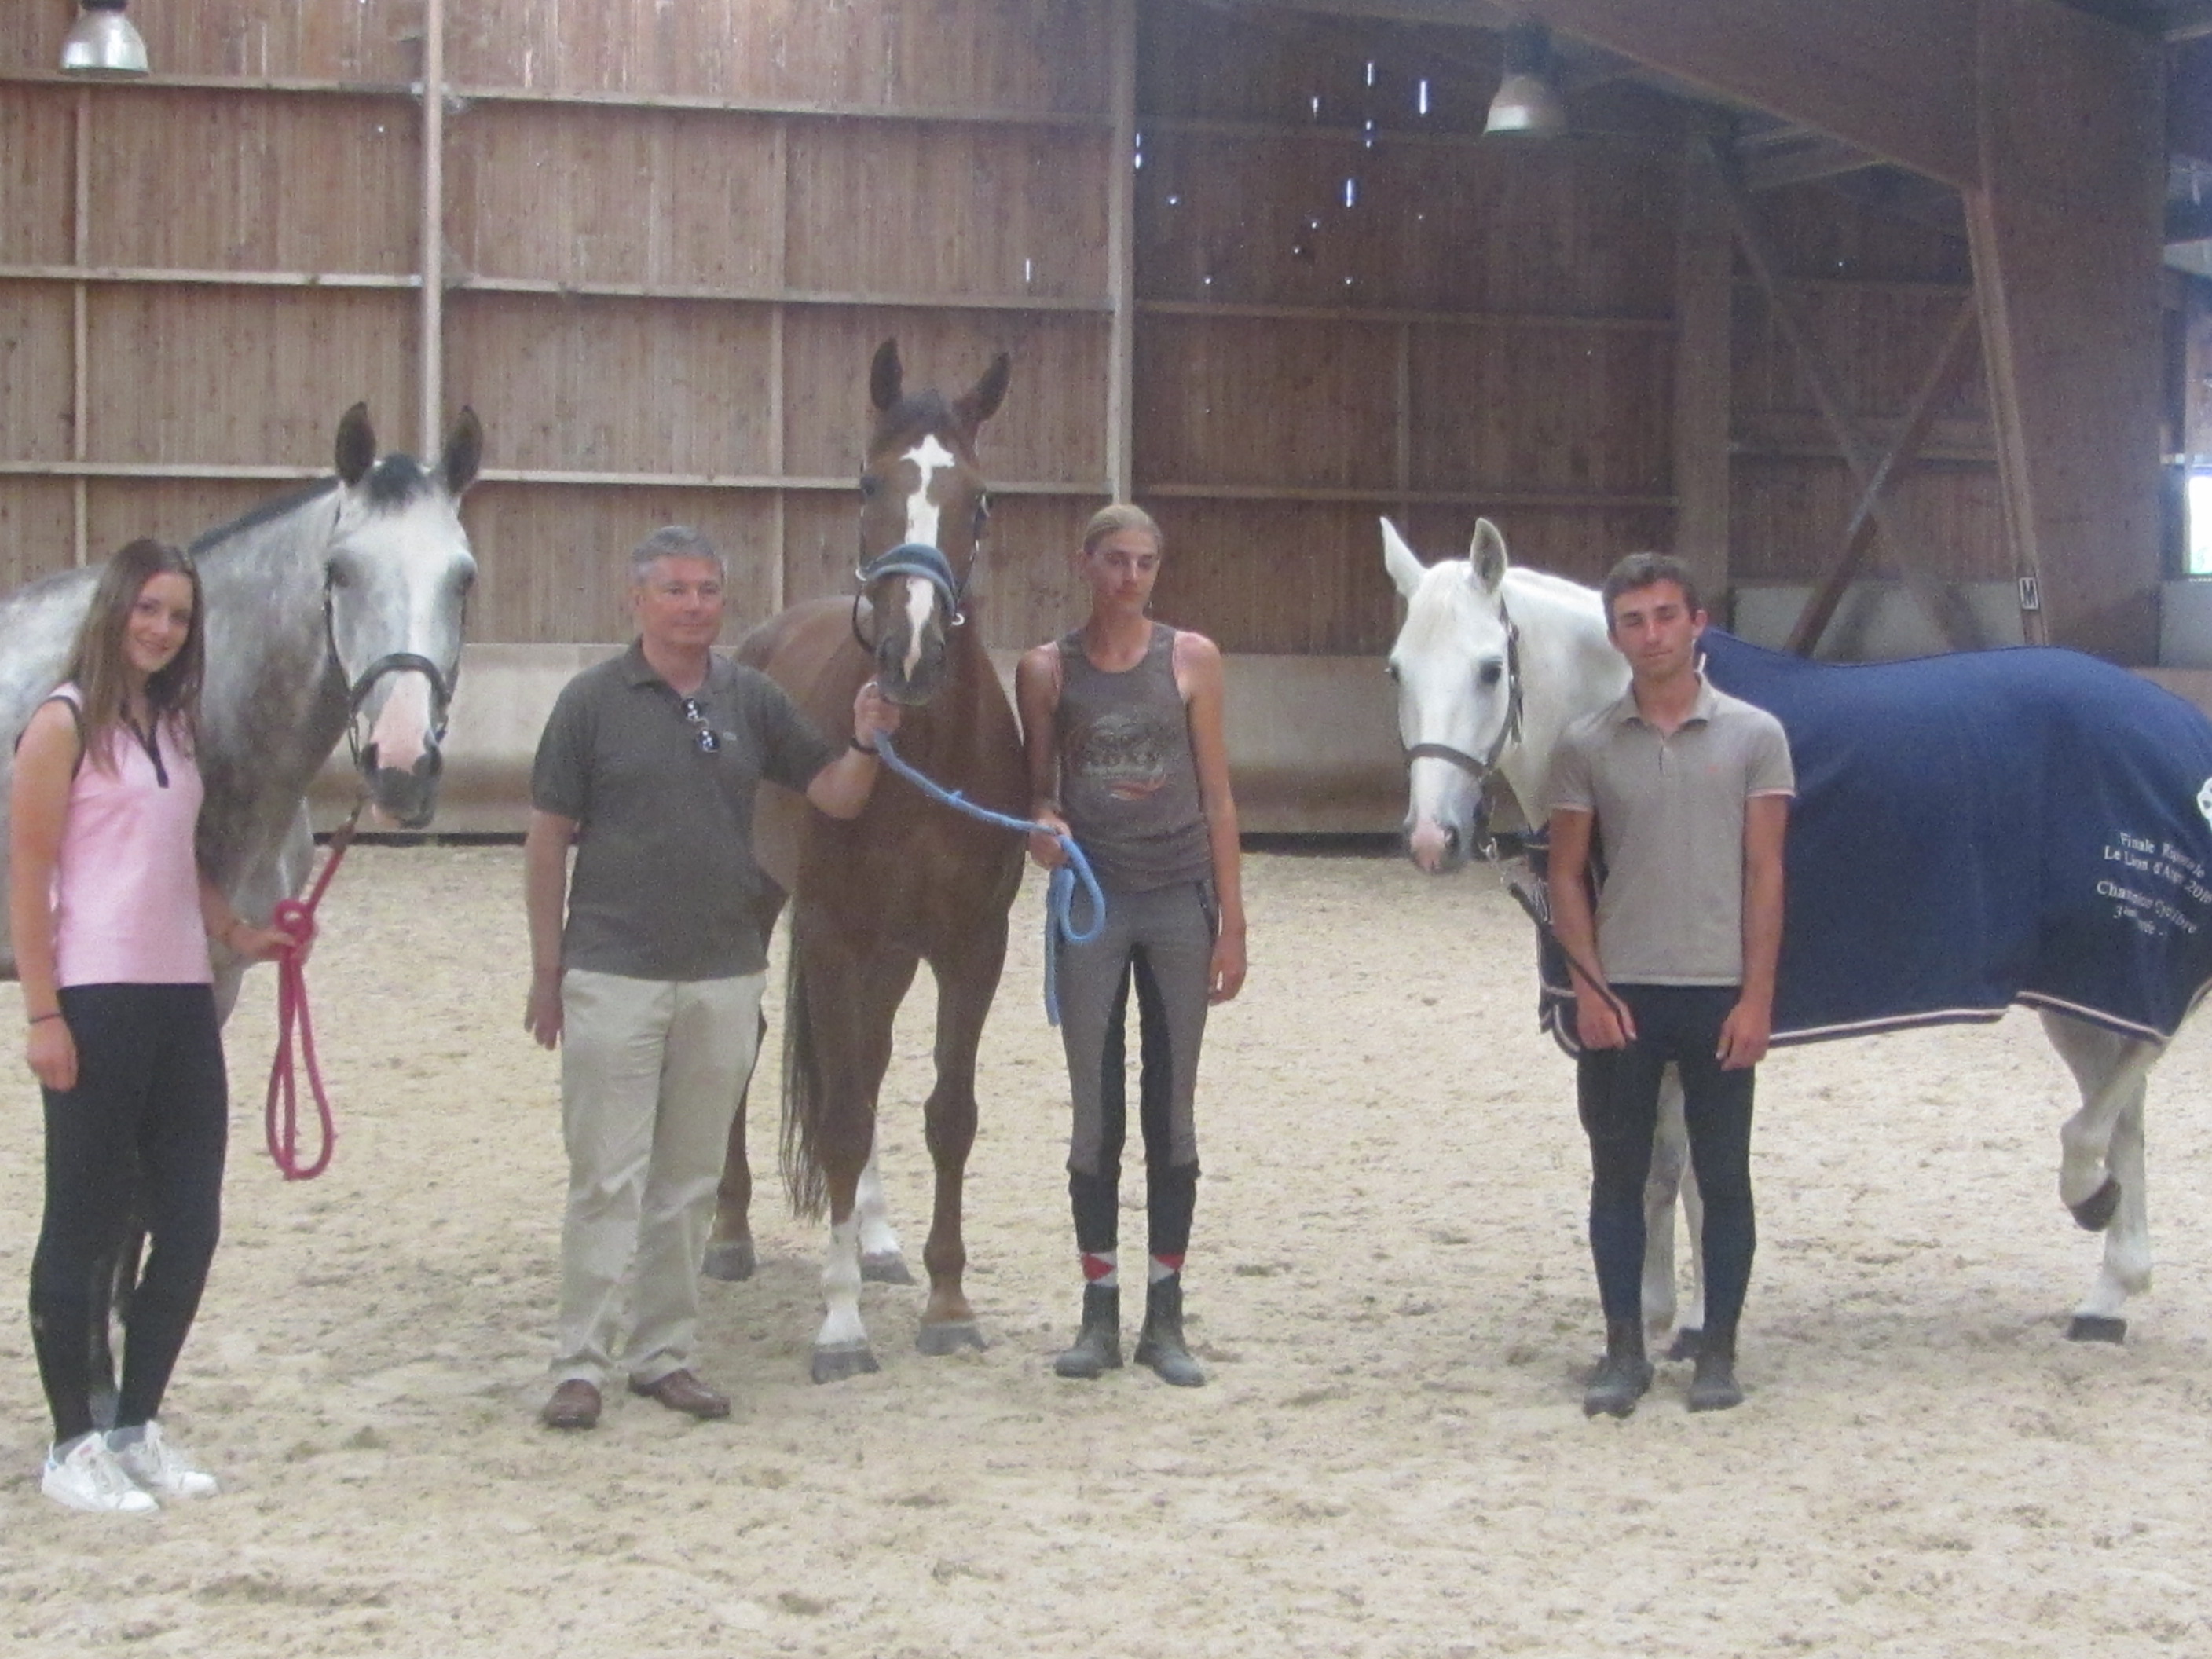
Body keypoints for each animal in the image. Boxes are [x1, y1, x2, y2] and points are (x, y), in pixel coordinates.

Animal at [0, 408, 482, 1424]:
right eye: (339, 571)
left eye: (463, 576)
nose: (400, 765)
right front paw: (96, 1389)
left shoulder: (206, 989)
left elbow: (140, 1199)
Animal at [703, 334, 1021, 1380]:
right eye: (866, 483)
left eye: (979, 499)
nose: (910, 656)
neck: (919, 757)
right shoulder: (835, 936)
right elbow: (839, 1120)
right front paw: (839, 1326)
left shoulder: (970, 946)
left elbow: (947, 1114)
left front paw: (947, 1302)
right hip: (776, 914)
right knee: (761, 1047)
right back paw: (728, 1234)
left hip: (892, 953)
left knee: (873, 1062)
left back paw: (878, 1243)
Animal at [1389, 517, 2185, 1353]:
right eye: (1396, 671)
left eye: (1489, 670)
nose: (1433, 838)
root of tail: (2170, 716)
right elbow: (1666, 1167)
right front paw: (1665, 1313)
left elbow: (1691, 1169)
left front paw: (1692, 1319)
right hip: (2082, 987)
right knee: (2126, 1100)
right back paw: (2108, 1291)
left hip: (2126, 961)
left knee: (2137, 1065)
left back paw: (2088, 1193)